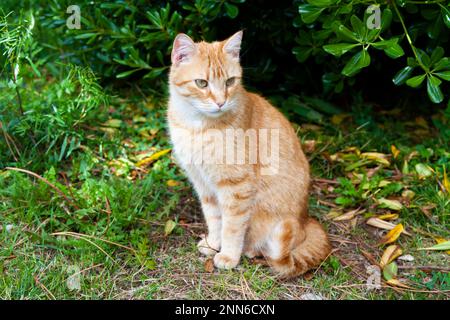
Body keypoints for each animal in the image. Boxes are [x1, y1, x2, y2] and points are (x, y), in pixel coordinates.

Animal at [168, 30, 330, 278]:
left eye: (230, 81)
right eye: (201, 83)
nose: (220, 102)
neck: (197, 125)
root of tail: (307, 220)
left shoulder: (237, 187)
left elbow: (232, 227)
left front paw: (228, 255)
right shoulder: (203, 184)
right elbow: (214, 218)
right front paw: (213, 243)